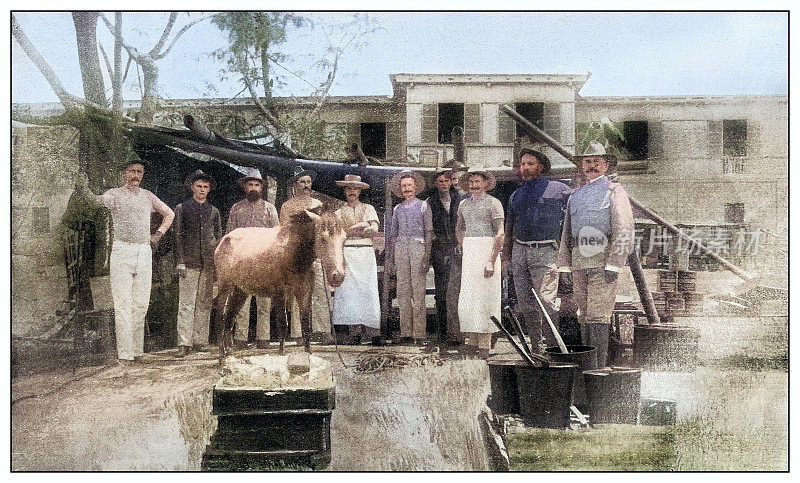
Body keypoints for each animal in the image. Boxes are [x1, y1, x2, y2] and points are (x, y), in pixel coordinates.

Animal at [212, 208, 346, 360]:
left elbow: (305, 325)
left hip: (240, 291)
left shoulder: (305, 293)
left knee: (230, 317)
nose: (338, 276)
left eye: (344, 239)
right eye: (323, 238)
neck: (294, 254)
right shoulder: (280, 294)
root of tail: (224, 239)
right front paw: (281, 353)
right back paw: (221, 355)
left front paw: (308, 353)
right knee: (220, 318)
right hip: (225, 287)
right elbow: (283, 324)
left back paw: (229, 351)